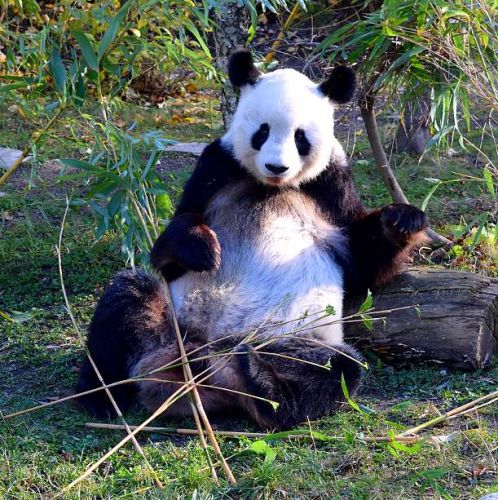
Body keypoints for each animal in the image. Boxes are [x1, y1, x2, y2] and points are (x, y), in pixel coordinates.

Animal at [77, 49, 428, 430]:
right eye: (263, 131)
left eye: (300, 137)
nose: (277, 167)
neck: (271, 188)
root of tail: (205, 373)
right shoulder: (216, 167)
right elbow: (169, 247)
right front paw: (203, 249)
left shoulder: (331, 185)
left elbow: (361, 263)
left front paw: (402, 220)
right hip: (170, 322)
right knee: (128, 297)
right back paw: (100, 398)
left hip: (290, 338)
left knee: (337, 368)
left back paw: (261, 383)